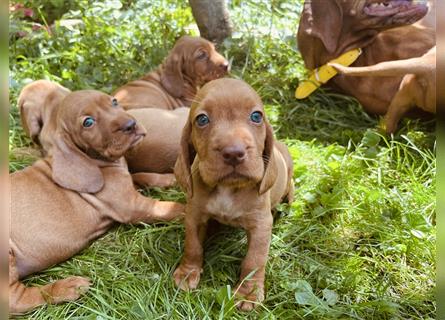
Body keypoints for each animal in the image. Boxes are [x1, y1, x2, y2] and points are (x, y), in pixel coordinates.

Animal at [10, 89, 184, 312]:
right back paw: (67, 288)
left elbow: (142, 176)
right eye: (88, 122)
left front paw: (170, 179)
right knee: (15, 299)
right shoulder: (133, 206)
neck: (97, 162)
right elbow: (172, 208)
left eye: (114, 102)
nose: (131, 124)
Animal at [172, 79, 294, 312]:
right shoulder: (194, 215)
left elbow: (254, 260)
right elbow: (192, 245)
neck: (228, 188)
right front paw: (188, 272)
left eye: (256, 116)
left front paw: (249, 294)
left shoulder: (261, 224)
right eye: (202, 119)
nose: (234, 152)